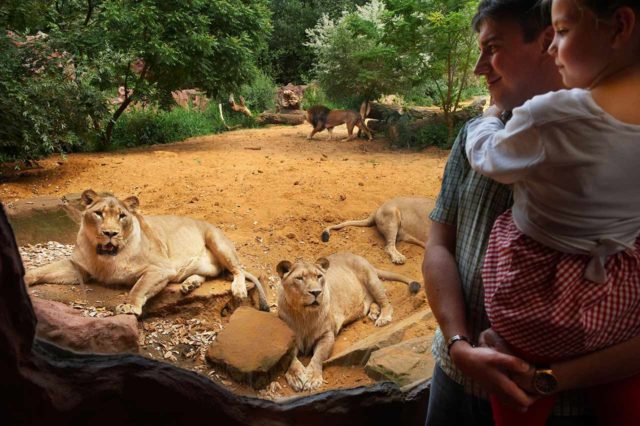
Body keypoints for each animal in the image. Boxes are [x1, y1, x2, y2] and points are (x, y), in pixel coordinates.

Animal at [23, 190, 268, 316]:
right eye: (99, 214)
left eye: (122, 215)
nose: (110, 233)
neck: (106, 257)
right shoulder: (79, 267)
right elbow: (44, 269)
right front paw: (25, 277)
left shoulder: (160, 268)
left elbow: (139, 286)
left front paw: (129, 305)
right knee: (211, 273)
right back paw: (189, 284)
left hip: (217, 240)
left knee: (238, 269)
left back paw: (237, 289)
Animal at [276, 251, 420, 392]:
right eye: (299, 278)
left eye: (319, 276)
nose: (316, 292)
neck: (305, 315)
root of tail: (354, 254)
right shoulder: (288, 340)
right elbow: (290, 359)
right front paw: (297, 377)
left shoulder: (327, 335)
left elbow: (318, 356)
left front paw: (312, 378)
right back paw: (374, 312)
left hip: (372, 280)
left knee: (386, 302)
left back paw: (383, 318)